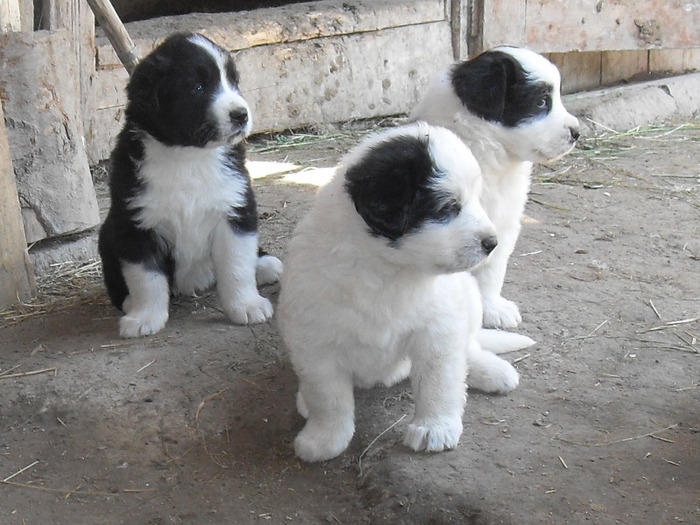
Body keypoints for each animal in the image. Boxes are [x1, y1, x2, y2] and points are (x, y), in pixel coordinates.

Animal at [98, 32, 282, 338]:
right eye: (198, 87)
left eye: (233, 82)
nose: (241, 114)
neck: (188, 156)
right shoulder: (135, 222)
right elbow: (145, 277)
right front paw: (144, 317)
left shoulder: (235, 207)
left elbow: (236, 265)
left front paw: (246, 305)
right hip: (106, 235)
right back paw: (128, 302)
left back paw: (266, 265)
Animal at [276, 124, 532, 462]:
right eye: (448, 207)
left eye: (476, 200)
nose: (492, 243)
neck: (388, 272)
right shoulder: (314, 343)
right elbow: (328, 397)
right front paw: (325, 439)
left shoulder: (438, 329)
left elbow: (439, 382)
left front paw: (434, 428)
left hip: (469, 298)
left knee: (469, 348)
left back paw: (491, 370)